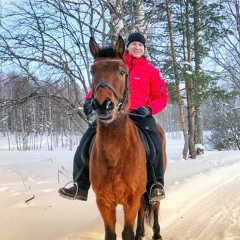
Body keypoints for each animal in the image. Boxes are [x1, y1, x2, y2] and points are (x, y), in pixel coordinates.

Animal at [88, 35, 167, 240]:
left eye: (122, 71)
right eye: (92, 71)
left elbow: (127, 233)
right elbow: (111, 234)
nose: (103, 105)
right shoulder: (104, 202)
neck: (115, 154)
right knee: (142, 209)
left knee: (155, 206)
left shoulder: (130, 199)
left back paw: (156, 233)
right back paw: (141, 232)